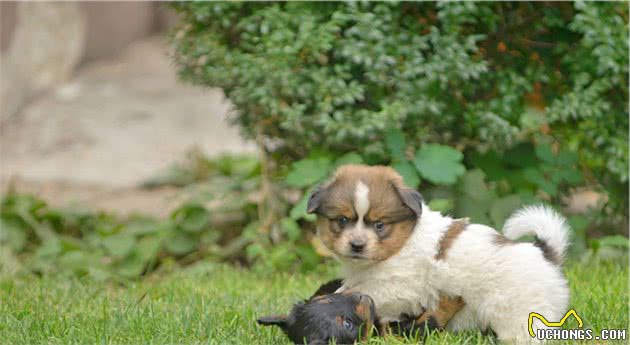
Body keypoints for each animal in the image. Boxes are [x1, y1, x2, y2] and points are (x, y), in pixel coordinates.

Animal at [256, 280, 464, 344]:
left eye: (328, 299)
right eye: (347, 324)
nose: (359, 296)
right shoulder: (397, 338)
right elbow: (427, 323)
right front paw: (453, 297)